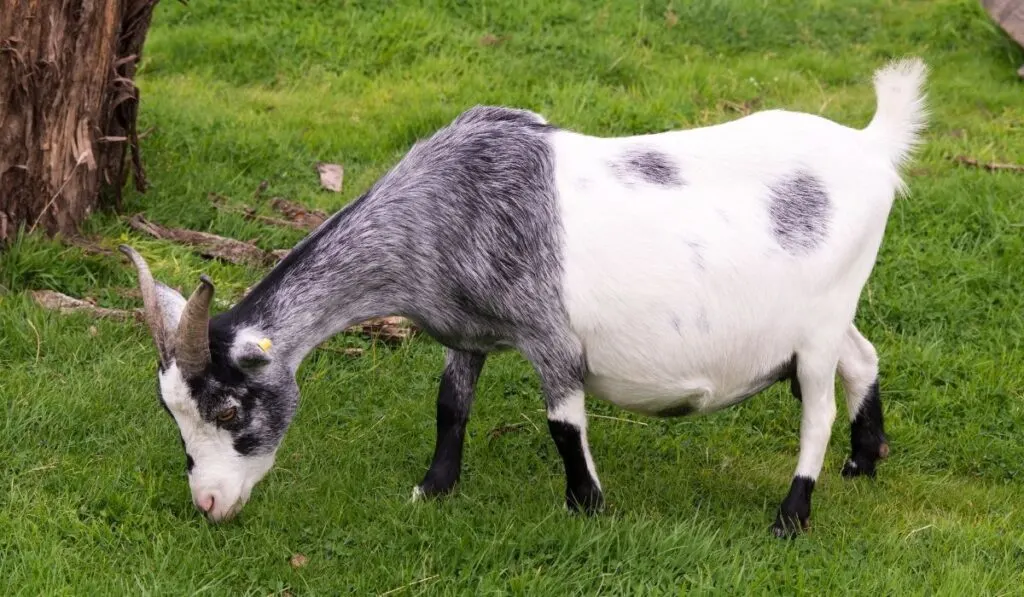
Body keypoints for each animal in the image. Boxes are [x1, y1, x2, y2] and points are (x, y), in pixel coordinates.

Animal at [121, 58, 926, 536]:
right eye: (170, 414)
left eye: (229, 409)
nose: (209, 504)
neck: (447, 208)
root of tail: (872, 147)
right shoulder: (468, 331)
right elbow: (450, 405)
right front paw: (432, 490)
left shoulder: (550, 335)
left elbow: (563, 424)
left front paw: (588, 508)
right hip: (830, 316)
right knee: (863, 355)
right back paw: (865, 461)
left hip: (817, 327)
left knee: (817, 409)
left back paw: (794, 511)